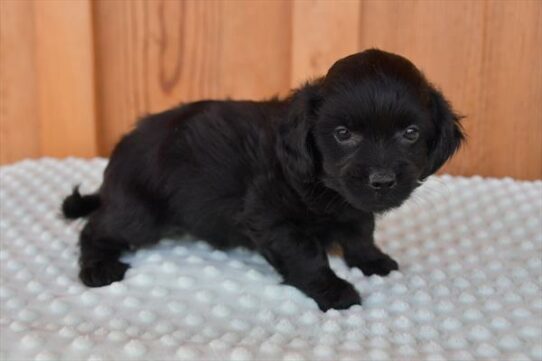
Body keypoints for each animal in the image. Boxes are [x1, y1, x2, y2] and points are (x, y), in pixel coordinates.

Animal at [62, 49, 464, 310]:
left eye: (411, 133)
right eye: (343, 133)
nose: (382, 180)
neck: (322, 186)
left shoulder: (355, 207)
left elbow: (360, 232)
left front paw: (372, 260)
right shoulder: (272, 218)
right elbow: (308, 255)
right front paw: (332, 289)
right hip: (141, 215)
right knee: (94, 228)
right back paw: (98, 267)